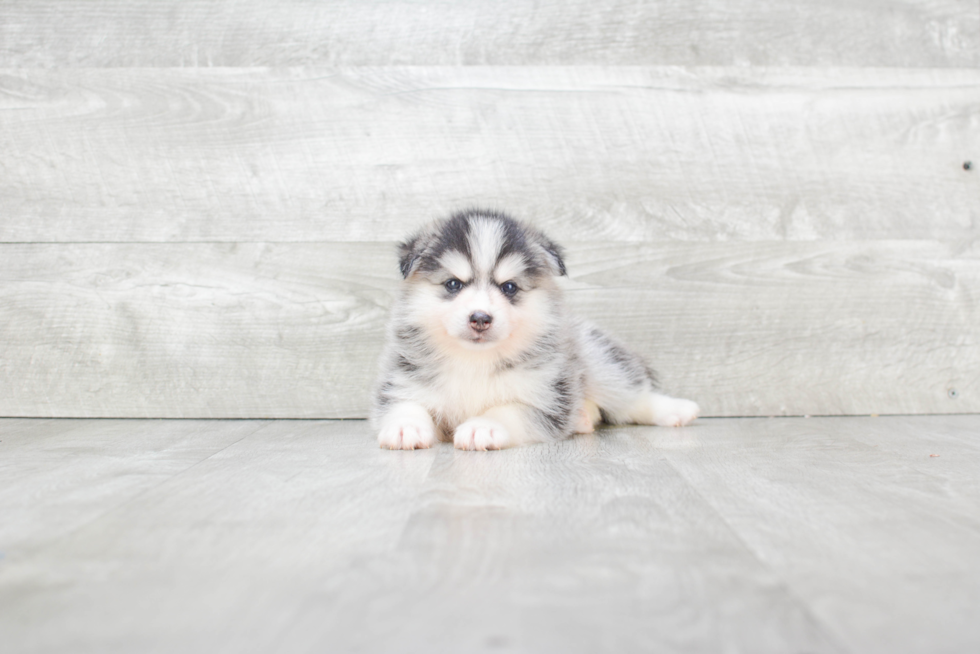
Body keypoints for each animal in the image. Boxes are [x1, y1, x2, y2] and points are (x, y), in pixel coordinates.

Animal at [368, 210, 696, 452]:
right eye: (453, 284)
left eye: (509, 287)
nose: (480, 318)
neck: (474, 361)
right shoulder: (402, 381)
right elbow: (407, 405)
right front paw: (405, 426)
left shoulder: (545, 399)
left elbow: (507, 410)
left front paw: (482, 426)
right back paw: (582, 417)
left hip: (598, 359)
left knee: (633, 396)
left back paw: (677, 409)